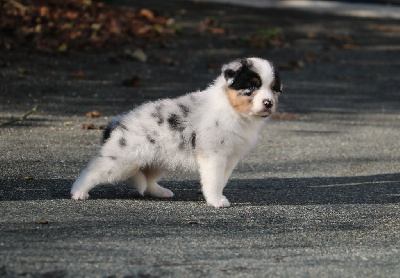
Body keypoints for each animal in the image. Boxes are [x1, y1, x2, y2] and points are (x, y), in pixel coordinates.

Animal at [70, 57, 282, 207]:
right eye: (252, 86)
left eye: (273, 89)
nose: (268, 103)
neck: (232, 109)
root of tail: (119, 121)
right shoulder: (213, 154)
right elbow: (214, 179)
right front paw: (216, 201)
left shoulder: (231, 157)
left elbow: (222, 179)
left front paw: (214, 196)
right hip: (123, 161)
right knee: (93, 170)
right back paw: (78, 192)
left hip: (157, 159)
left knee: (147, 181)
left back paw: (160, 191)